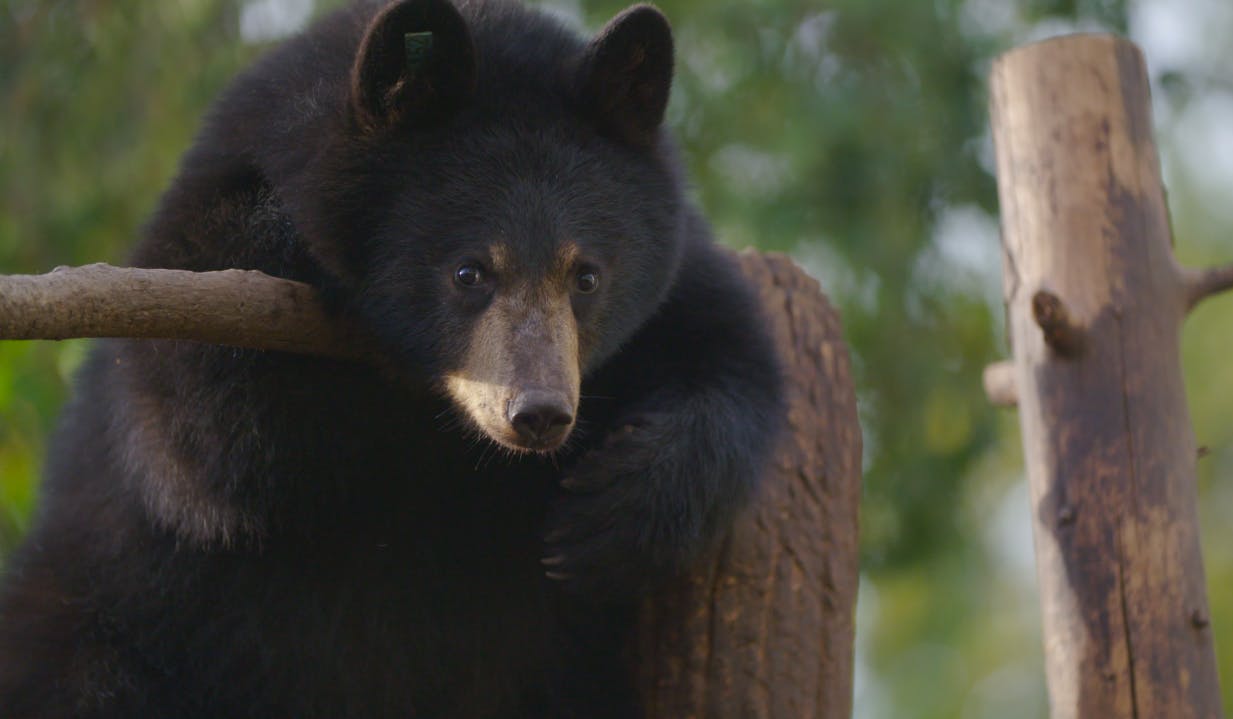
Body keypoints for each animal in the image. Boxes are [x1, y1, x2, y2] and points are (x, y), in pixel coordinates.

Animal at [0, 0, 783, 717]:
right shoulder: (192, 258)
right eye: (469, 272)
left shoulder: (677, 282)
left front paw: (608, 511)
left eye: (586, 276)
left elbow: (732, 359)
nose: (538, 414)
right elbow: (194, 442)